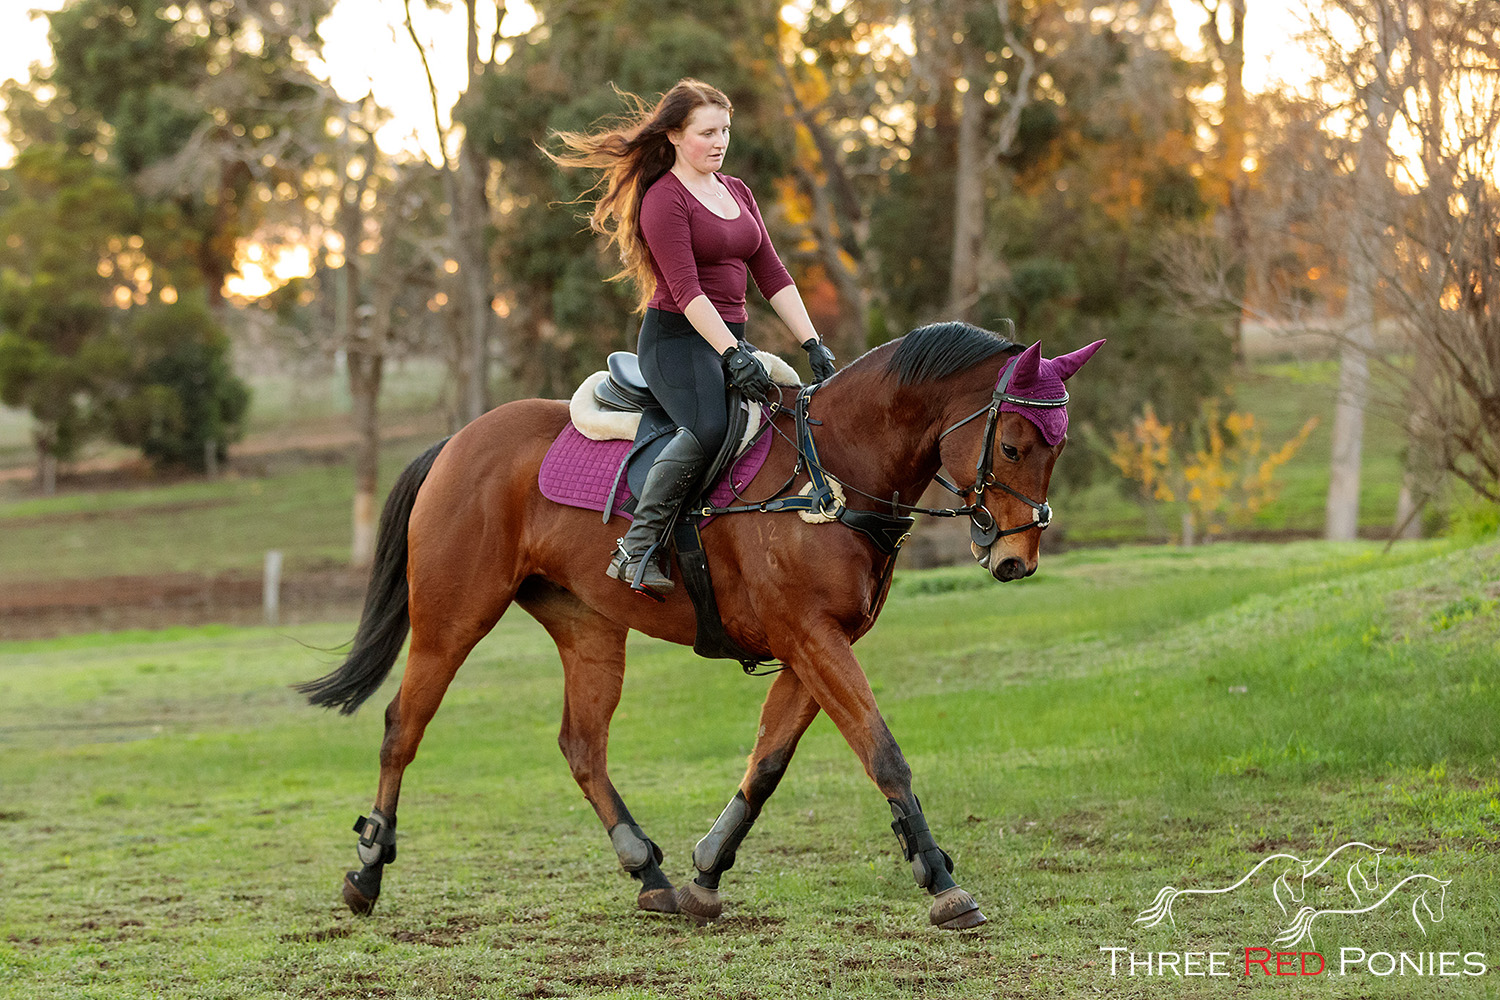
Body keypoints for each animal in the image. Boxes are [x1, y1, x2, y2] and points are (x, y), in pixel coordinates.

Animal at [298, 320, 1110, 929]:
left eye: (1059, 447)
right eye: (1013, 446)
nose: (1016, 559)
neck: (831, 473)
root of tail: (458, 442)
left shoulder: (816, 645)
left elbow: (768, 764)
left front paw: (705, 873)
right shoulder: (812, 639)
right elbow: (883, 754)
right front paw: (940, 879)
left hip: (589, 630)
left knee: (582, 747)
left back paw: (648, 874)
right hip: (452, 620)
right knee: (402, 728)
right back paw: (367, 874)